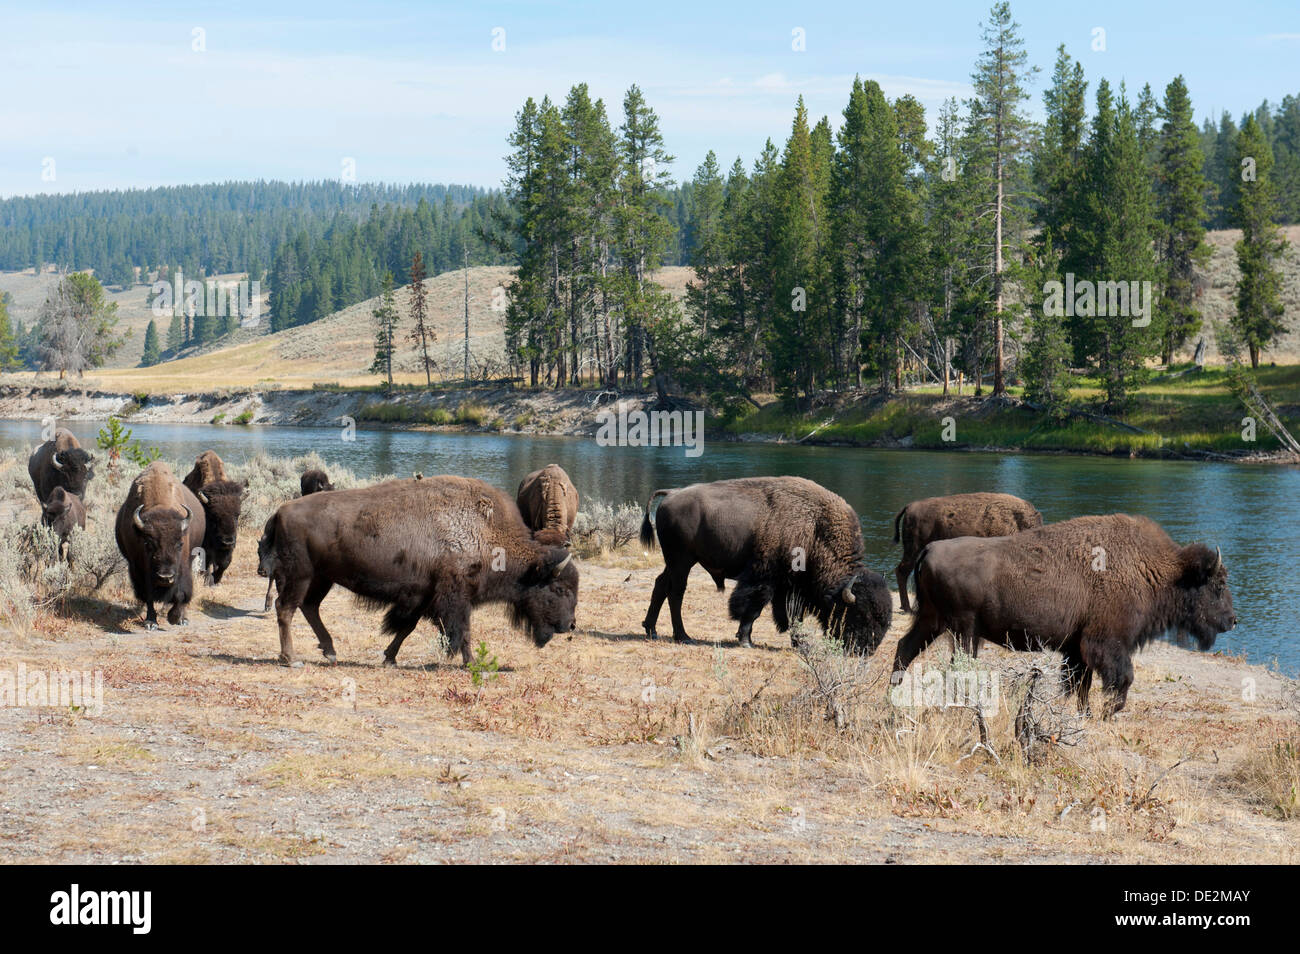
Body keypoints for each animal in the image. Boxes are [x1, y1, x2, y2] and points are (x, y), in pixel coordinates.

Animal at [115, 462, 206, 629]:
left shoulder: (183, 567)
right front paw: (151, 622)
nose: (165, 577)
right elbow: (149, 596)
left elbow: (181, 593)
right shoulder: (139, 570)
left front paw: (176, 618)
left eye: (180, 544)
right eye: (147, 543)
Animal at [182, 450, 245, 584]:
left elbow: (225, 563)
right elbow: (207, 561)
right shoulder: (206, 545)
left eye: (237, 516)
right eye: (214, 517)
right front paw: (208, 580)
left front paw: (216, 579)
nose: (227, 541)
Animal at [258, 475, 578, 667]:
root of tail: (281, 510)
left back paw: (330, 651)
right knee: (285, 608)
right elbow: (462, 630)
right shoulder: (455, 597)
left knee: (309, 607)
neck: (487, 532)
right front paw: (472, 663)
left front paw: (389, 658)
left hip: (321, 579)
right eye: (559, 589)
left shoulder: (425, 596)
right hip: (301, 576)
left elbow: (407, 628)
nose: (570, 625)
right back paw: (291, 658)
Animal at [639, 476, 892, 651]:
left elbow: (793, 616)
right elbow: (753, 609)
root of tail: (672, 493)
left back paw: (651, 629)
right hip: (682, 561)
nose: (866, 650)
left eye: (884, 621)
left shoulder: (793, 589)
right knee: (676, 592)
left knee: (661, 585)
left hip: (675, 562)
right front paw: (745, 641)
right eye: (859, 615)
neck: (816, 530)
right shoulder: (764, 578)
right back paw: (683, 636)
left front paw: (800, 644)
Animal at [892, 513, 1237, 717]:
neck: (1157, 571)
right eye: (1217, 585)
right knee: (956, 666)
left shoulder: (1077, 650)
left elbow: (1080, 685)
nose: (1233, 620)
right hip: (963, 630)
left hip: (934, 622)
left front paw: (1083, 715)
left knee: (904, 649)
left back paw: (893, 695)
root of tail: (930, 549)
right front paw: (1107, 714)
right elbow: (1120, 679)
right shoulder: (1106, 644)